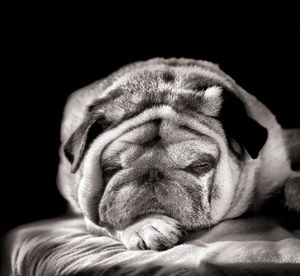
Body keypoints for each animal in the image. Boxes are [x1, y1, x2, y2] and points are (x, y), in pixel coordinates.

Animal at [56, 57, 300, 250]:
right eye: (111, 168)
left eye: (199, 165)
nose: (152, 173)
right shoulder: (87, 205)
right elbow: (108, 218)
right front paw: (146, 225)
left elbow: (293, 181)